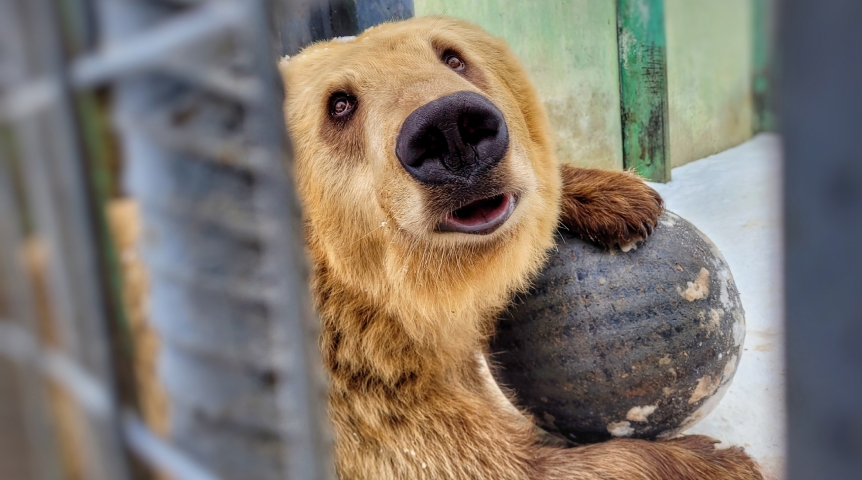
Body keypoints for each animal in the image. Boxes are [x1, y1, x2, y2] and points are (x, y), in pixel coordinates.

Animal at [278, 15, 764, 480]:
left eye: (453, 57)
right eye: (339, 104)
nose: (450, 128)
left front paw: (621, 199)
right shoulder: (366, 388)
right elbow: (488, 460)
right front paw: (717, 458)